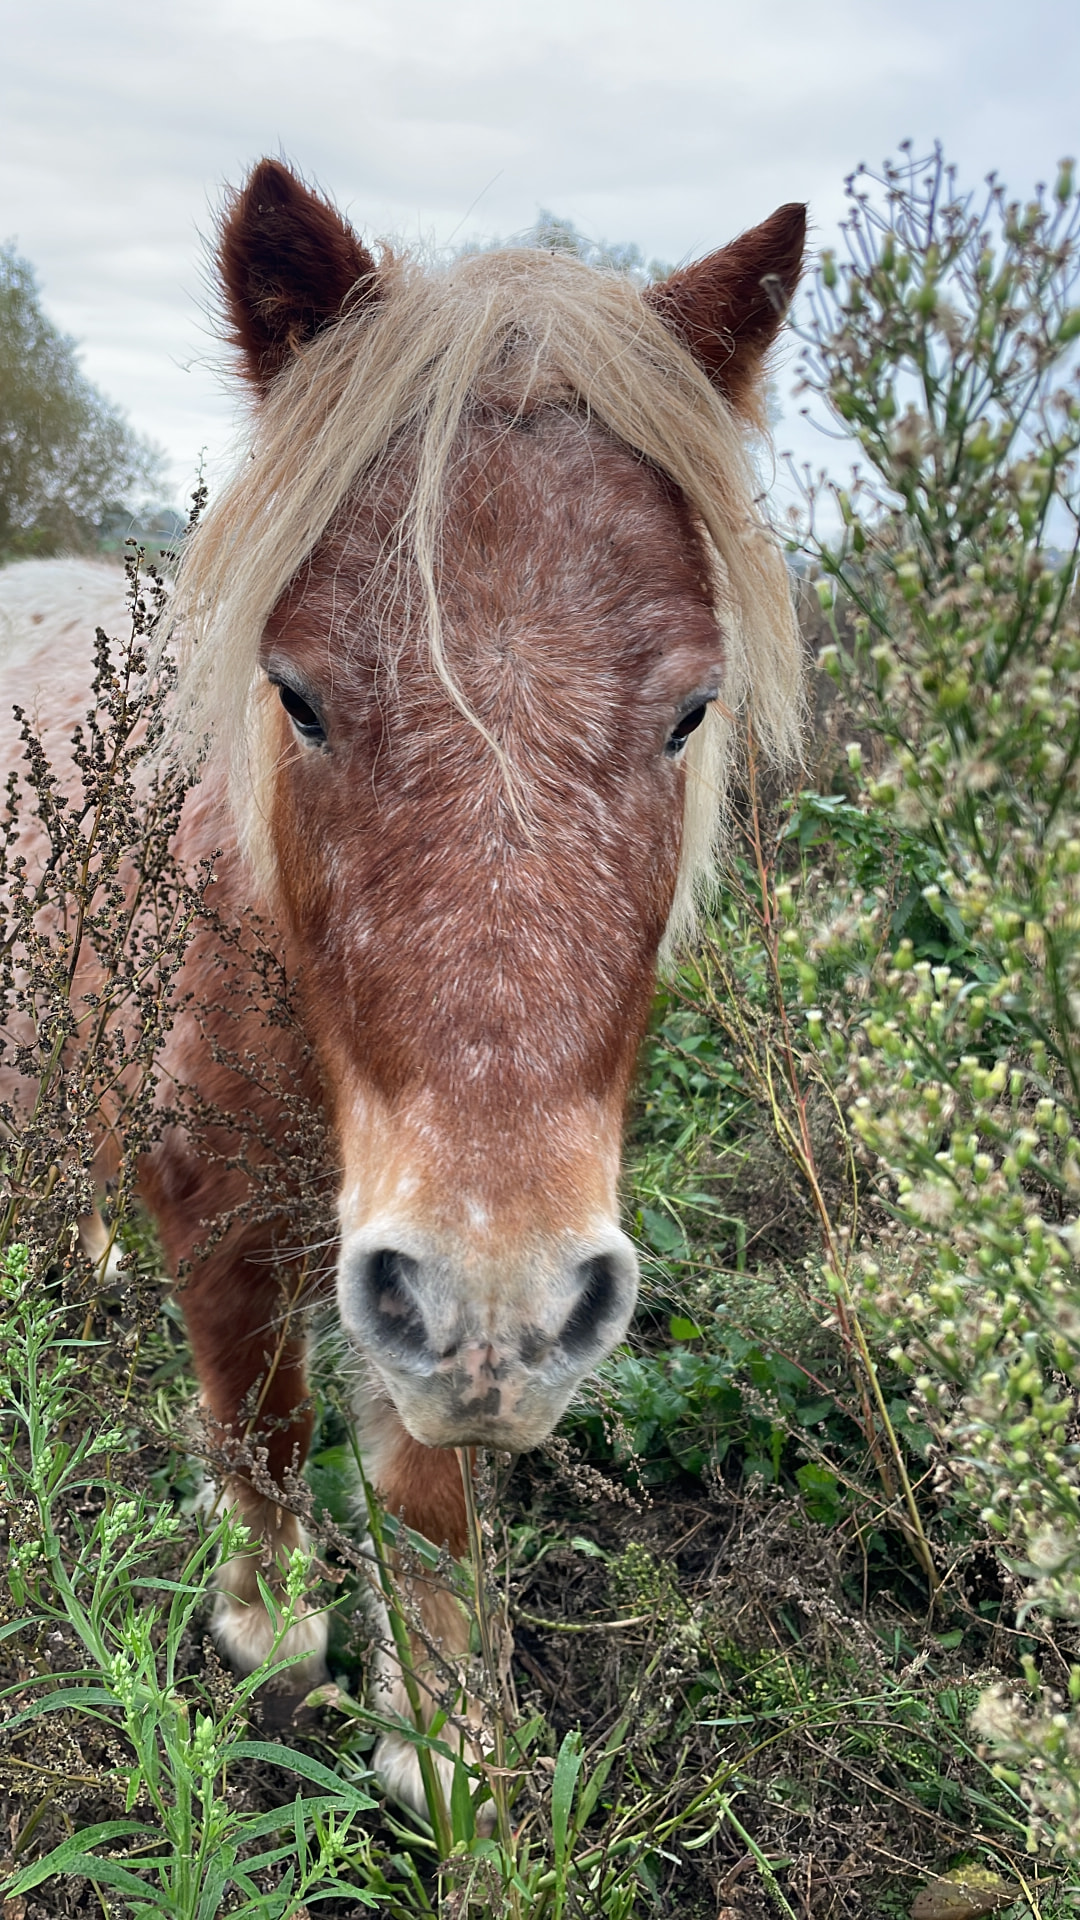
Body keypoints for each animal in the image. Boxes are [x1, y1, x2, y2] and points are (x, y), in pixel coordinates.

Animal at [0, 158, 805, 1819]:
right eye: (297, 694)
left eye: (691, 710)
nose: (499, 1304)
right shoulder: (228, 1215)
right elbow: (260, 1421)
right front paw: (274, 1635)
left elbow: (425, 1496)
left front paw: (446, 1744)